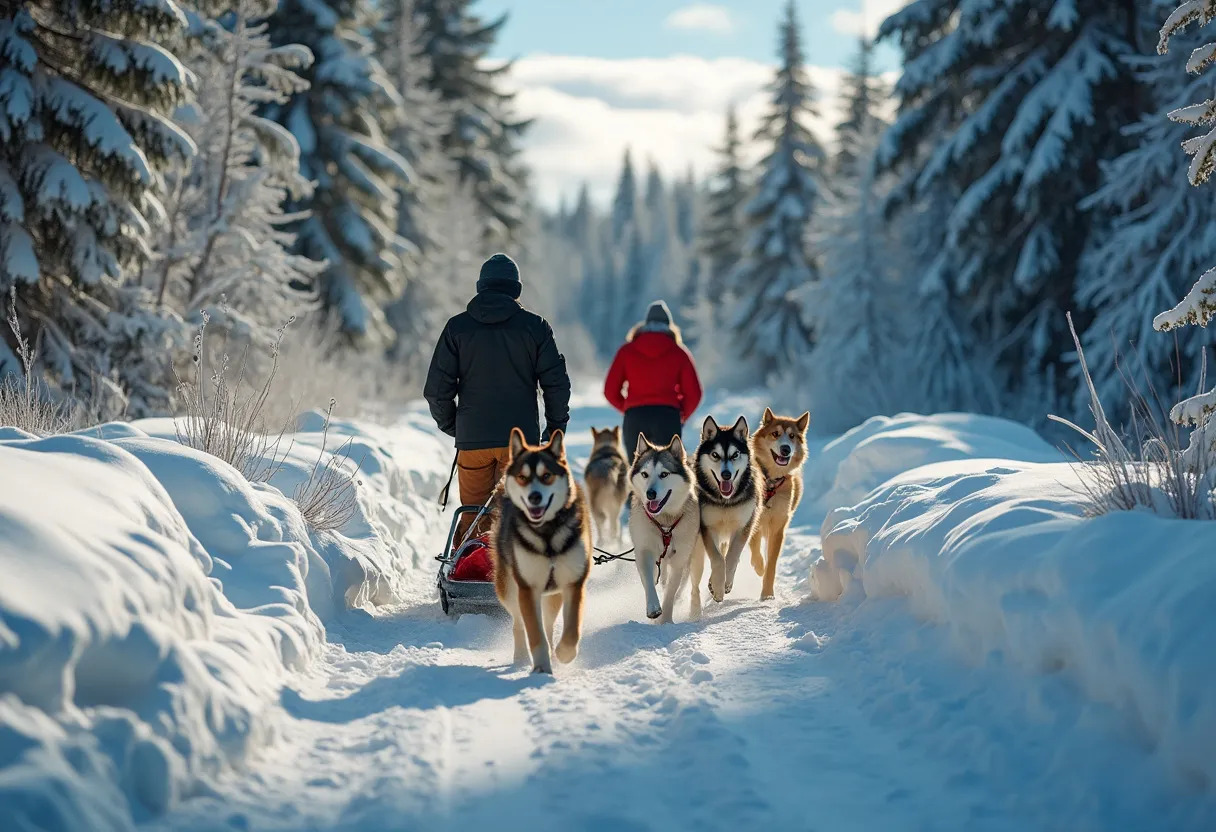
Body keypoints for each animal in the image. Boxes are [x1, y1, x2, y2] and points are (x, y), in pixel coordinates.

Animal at [491, 425, 590, 671]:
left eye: (547, 476)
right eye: (522, 477)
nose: (534, 497)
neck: (547, 534)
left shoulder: (573, 582)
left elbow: (571, 629)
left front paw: (564, 653)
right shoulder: (528, 588)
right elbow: (535, 635)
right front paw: (542, 668)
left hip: (553, 595)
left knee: (548, 624)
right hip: (510, 589)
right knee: (519, 623)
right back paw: (521, 656)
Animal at [627, 435, 705, 617]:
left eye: (664, 474)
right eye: (645, 474)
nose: (650, 494)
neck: (665, 522)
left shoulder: (680, 557)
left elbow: (672, 590)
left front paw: (665, 619)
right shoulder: (644, 549)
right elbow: (649, 580)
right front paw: (653, 607)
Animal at [695, 418, 758, 600]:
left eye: (735, 454)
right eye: (715, 455)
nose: (726, 475)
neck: (726, 502)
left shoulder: (743, 526)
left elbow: (731, 557)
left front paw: (726, 584)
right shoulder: (708, 527)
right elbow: (717, 559)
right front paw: (717, 586)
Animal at [749, 408, 807, 598]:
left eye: (792, 436)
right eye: (775, 434)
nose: (785, 449)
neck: (771, 482)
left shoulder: (778, 526)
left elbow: (772, 564)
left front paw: (767, 594)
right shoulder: (755, 521)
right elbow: (754, 547)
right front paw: (759, 566)